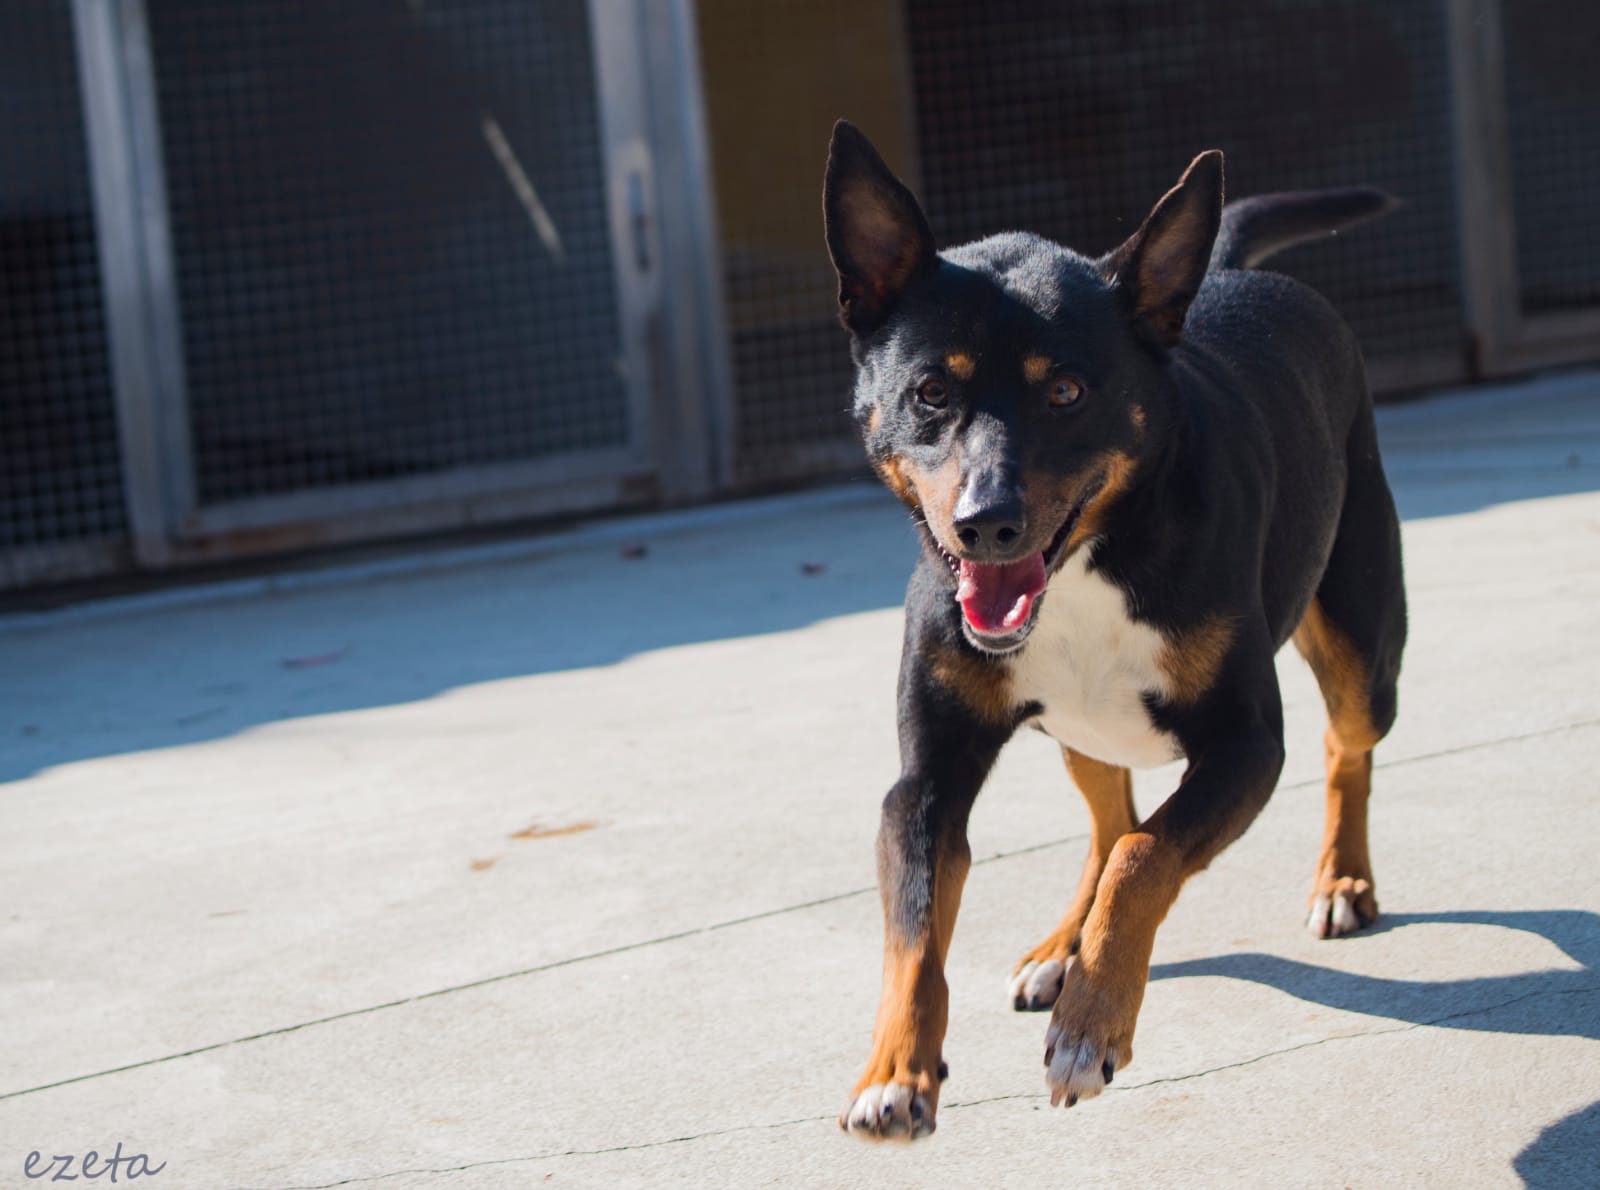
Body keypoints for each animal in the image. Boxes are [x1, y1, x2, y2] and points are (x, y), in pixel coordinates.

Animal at [819, 123, 1408, 1145]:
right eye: (930, 392)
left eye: (1065, 391)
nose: (986, 525)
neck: (1089, 562)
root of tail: (1225, 270)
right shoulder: (924, 783)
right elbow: (918, 927)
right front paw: (894, 1071)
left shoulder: (1246, 746)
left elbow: (1146, 859)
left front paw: (1091, 1026)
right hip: (1082, 729)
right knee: (1109, 817)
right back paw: (1064, 945)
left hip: (1365, 649)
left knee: (1344, 746)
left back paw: (1341, 879)